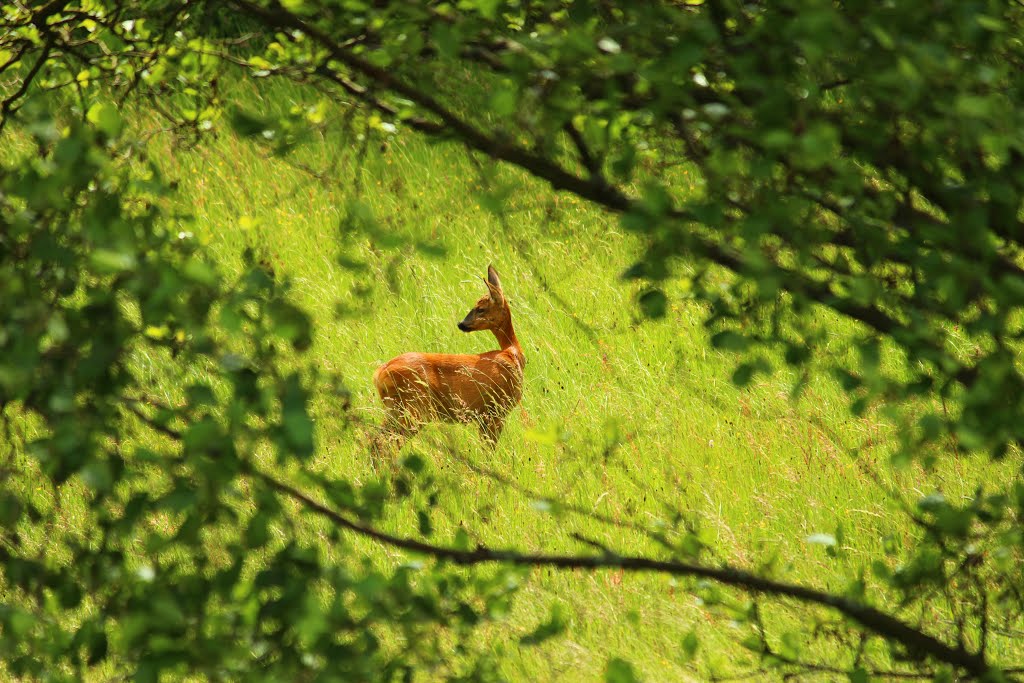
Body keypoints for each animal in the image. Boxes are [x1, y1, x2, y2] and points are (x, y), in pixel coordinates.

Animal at [370, 266, 528, 458]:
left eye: (481, 309)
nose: (461, 323)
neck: (512, 354)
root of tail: (380, 373)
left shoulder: (485, 415)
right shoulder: (495, 411)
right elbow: (489, 451)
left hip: (396, 408)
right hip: (413, 408)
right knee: (384, 443)